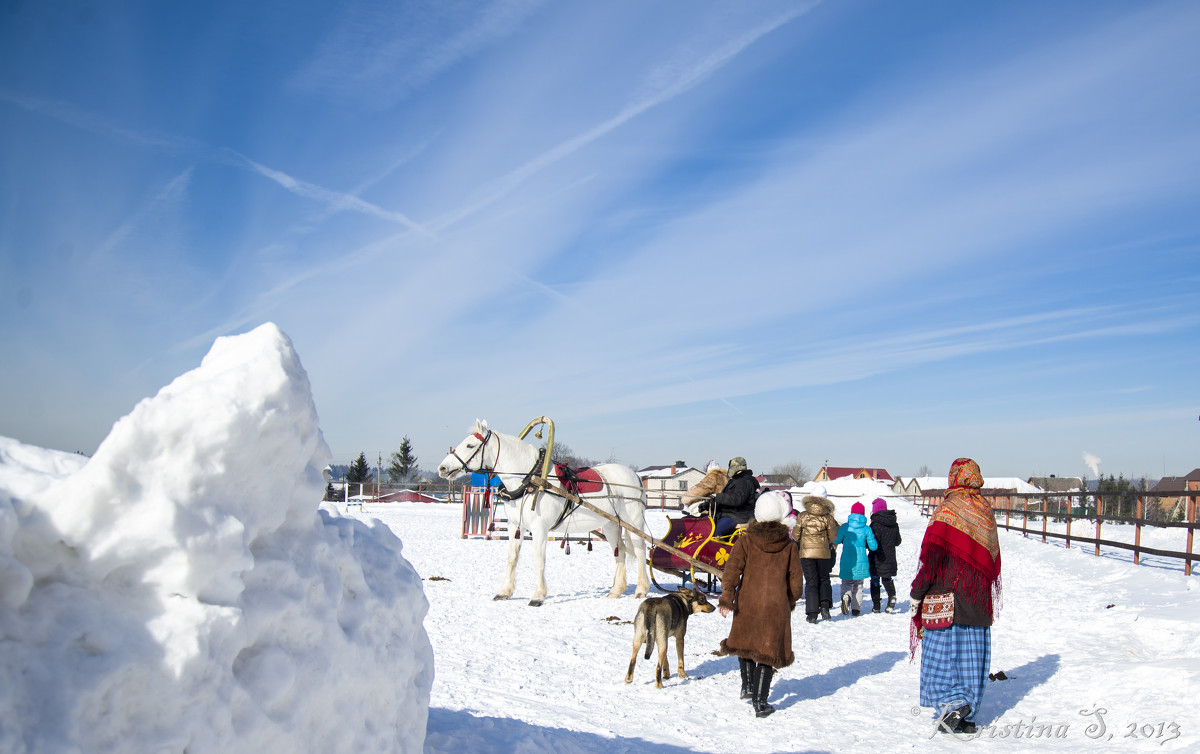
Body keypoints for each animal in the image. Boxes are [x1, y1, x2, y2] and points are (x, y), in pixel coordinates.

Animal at [439, 417, 648, 607]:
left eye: (470, 445)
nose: (442, 468)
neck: (529, 480)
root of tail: (635, 476)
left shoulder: (539, 528)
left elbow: (539, 560)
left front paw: (538, 596)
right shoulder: (515, 526)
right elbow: (512, 558)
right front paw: (504, 592)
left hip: (633, 520)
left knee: (639, 549)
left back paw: (641, 589)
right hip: (610, 523)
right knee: (620, 552)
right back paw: (616, 590)